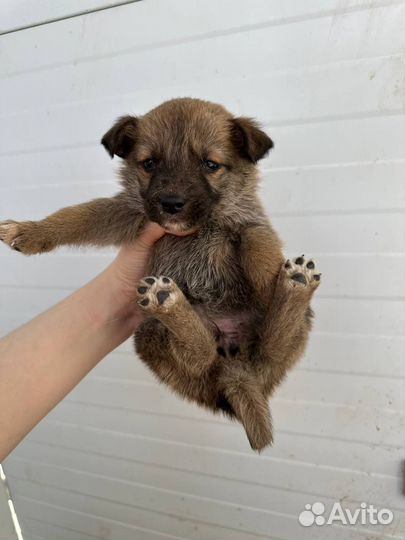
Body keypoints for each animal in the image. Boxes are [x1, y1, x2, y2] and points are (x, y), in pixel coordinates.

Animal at [0, 98, 322, 452]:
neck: (197, 229)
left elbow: (260, 249)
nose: (171, 204)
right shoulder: (128, 213)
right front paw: (30, 231)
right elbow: (78, 215)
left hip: (288, 334)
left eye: (210, 164)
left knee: (271, 344)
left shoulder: (249, 224)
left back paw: (292, 287)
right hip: (151, 334)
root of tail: (236, 367)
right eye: (150, 163)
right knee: (204, 354)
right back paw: (169, 301)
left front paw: (270, 286)